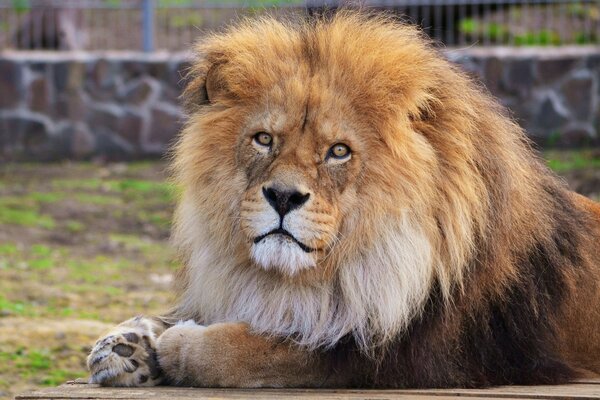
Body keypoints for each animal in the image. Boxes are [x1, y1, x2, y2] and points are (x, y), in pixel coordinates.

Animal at [85, 11, 600, 388]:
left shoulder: (395, 355)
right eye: (264, 140)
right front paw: (126, 344)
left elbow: (246, 351)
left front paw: (176, 346)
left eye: (338, 151)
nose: (283, 196)